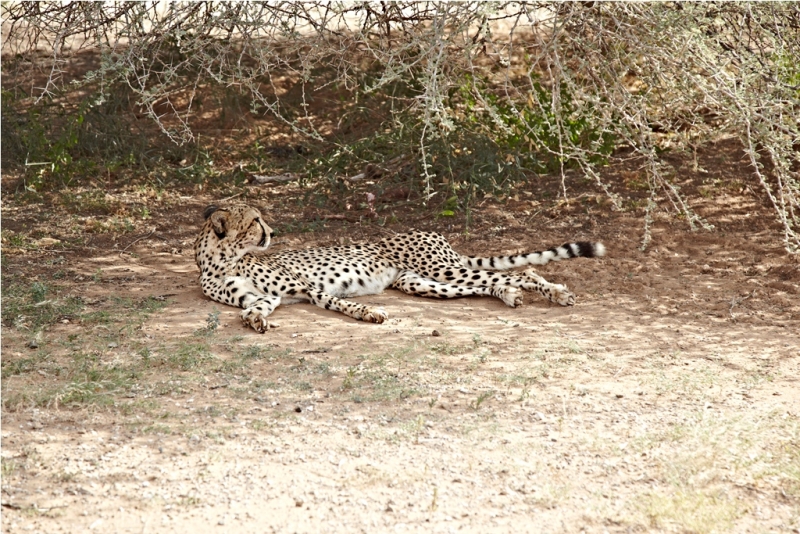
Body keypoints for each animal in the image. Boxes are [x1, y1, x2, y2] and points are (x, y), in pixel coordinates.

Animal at [195, 203, 608, 332]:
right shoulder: (265, 298)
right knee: (491, 282)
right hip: (422, 282)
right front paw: (255, 322)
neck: (219, 260)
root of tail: (430, 232)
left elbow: (339, 302)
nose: (272, 232)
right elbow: (250, 310)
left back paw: (555, 292)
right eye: (254, 221)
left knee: (520, 272)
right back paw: (508, 295)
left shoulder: (305, 288)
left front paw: (369, 313)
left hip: (442, 269)